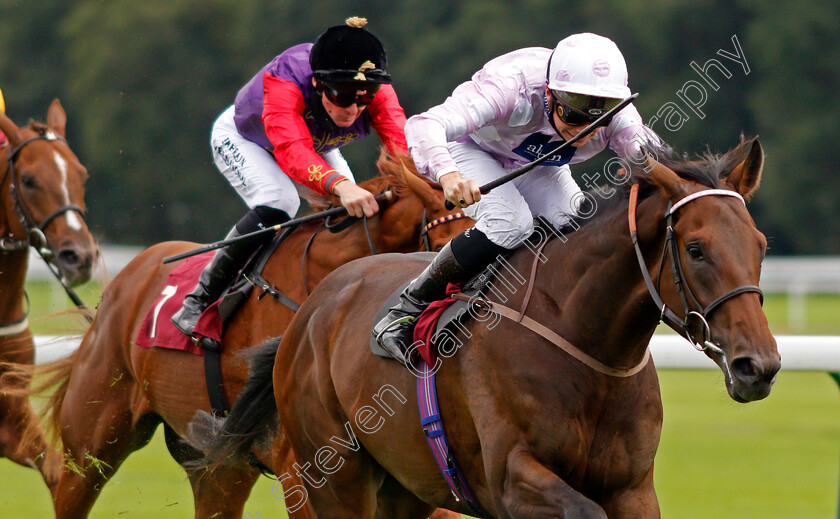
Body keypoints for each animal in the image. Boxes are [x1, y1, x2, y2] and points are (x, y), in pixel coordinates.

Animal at [217, 136, 780, 516]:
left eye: (761, 245)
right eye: (696, 249)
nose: (759, 366)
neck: (585, 342)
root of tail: (311, 311)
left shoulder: (633, 488)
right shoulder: (512, 479)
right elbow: (580, 507)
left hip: (405, 486)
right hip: (334, 477)